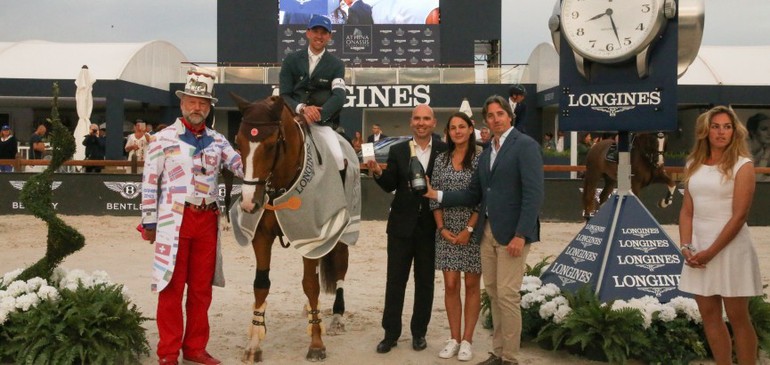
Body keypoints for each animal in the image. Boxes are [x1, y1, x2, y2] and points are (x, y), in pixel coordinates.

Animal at [231, 94, 352, 362]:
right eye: (238, 143)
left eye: (271, 144)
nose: (249, 203)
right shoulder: (262, 237)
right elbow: (261, 284)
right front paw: (254, 344)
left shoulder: (312, 235)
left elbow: (311, 285)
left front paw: (316, 343)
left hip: (342, 232)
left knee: (340, 267)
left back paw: (337, 317)